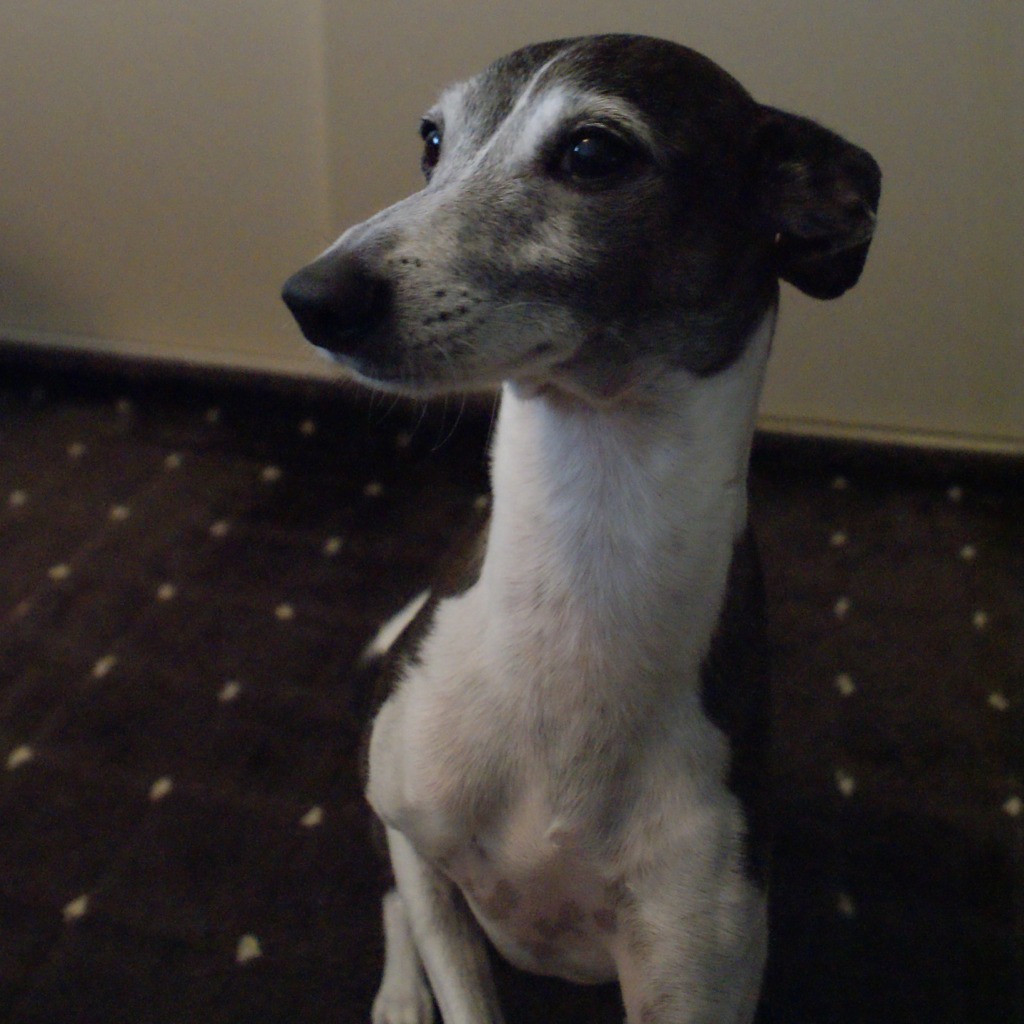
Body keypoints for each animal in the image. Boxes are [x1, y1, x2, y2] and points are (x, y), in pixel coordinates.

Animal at [282, 33, 880, 1024]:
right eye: (432, 139)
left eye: (594, 152)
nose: (310, 296)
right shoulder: (421, 841)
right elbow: (430, 927)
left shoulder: (696, 972)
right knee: (391, 897)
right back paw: (400, 994)